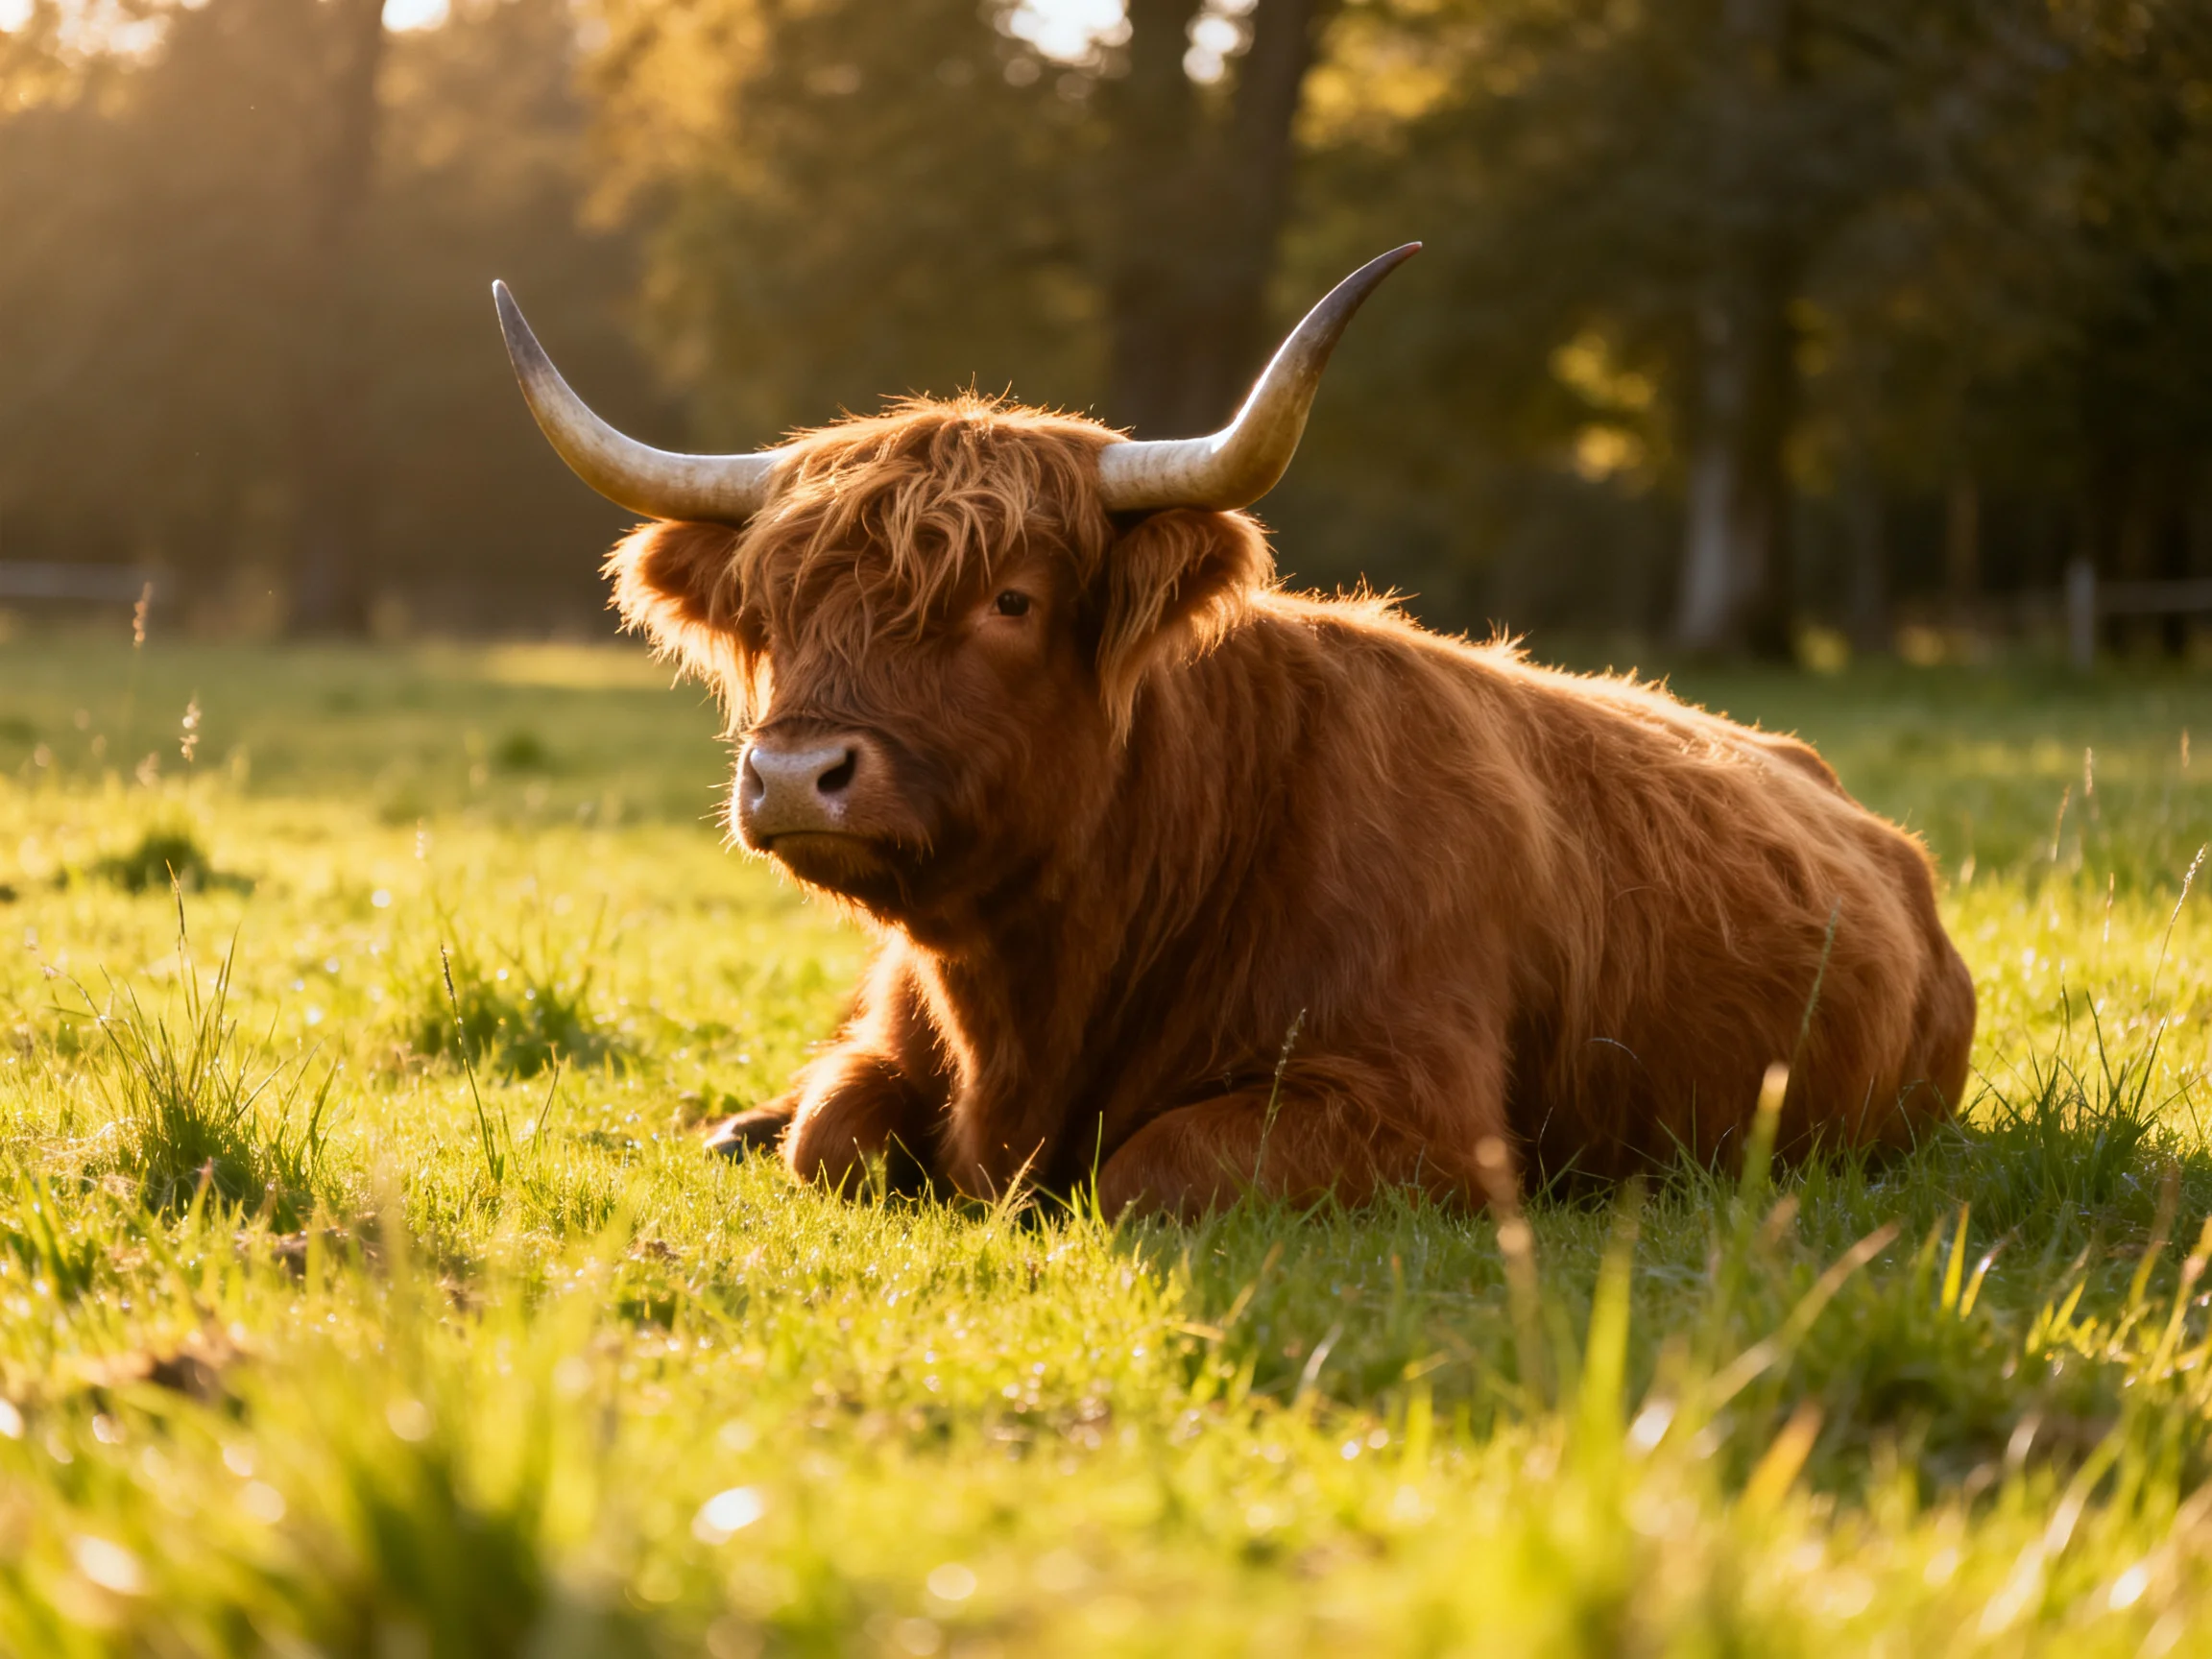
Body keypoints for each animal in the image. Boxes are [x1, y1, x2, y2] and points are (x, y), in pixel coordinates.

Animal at [492, 247, 1976, 1218]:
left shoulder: (1421, 1114)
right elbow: (834, 1135)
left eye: (1012, 598)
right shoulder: (891, 1042)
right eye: (773, 609)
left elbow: (1148, 1169)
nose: (800, 773)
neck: (1029, 1001)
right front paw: (769, 1127)